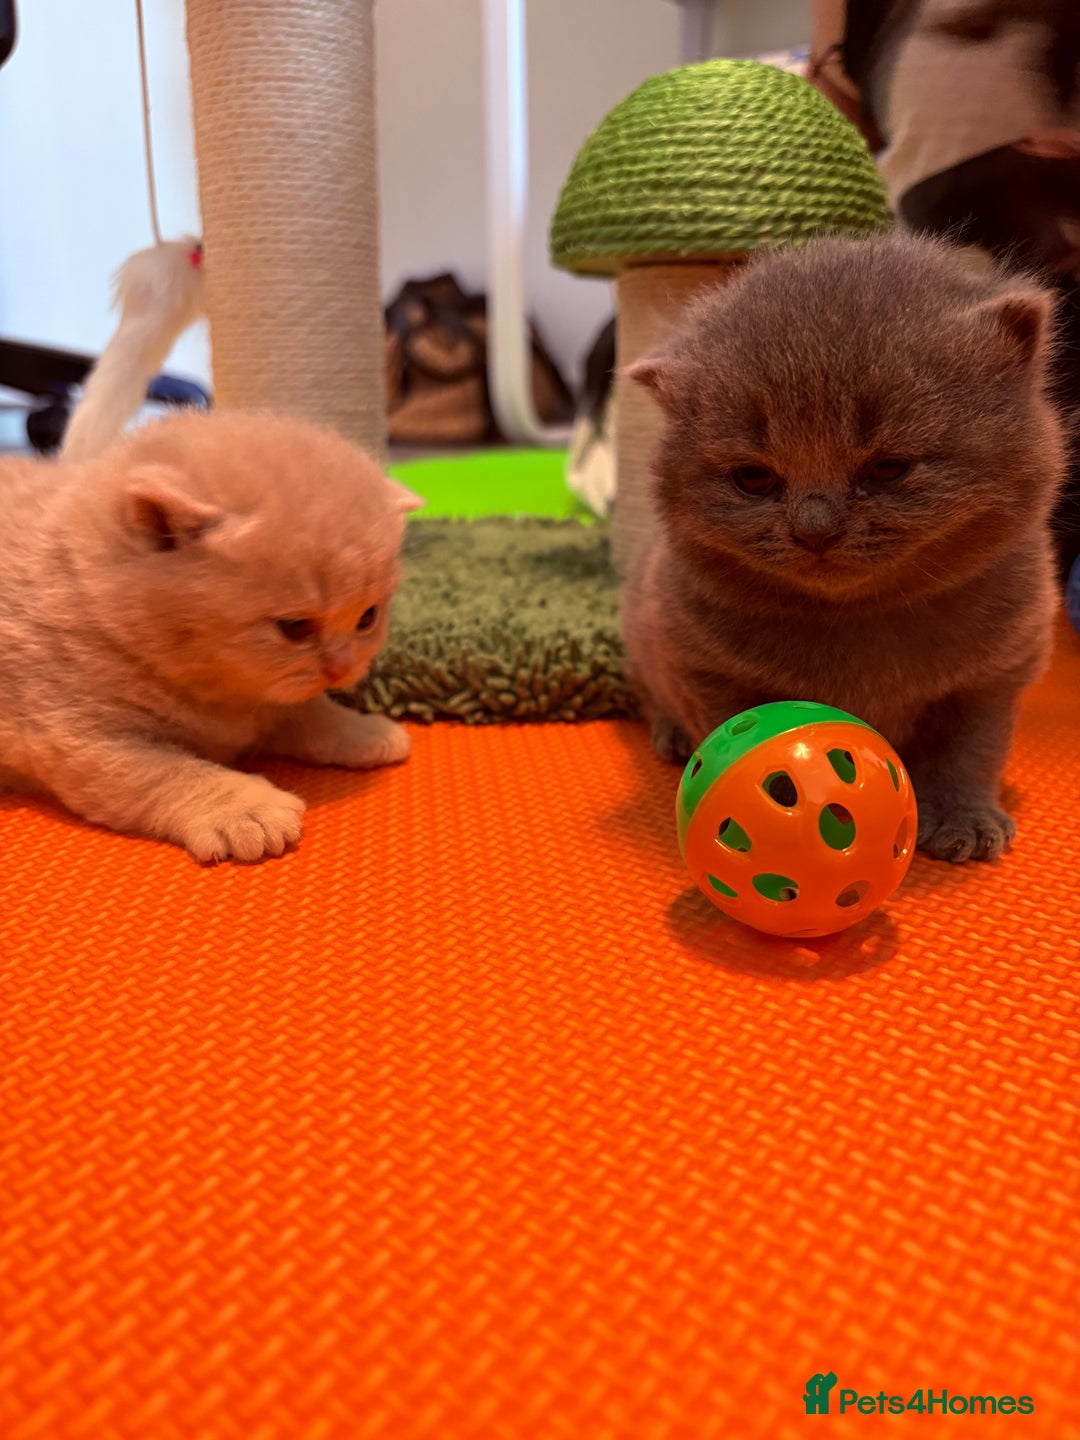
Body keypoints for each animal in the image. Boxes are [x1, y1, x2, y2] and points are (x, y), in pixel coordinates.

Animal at [0, 409, 421, 862]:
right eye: (295, 628)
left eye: (367, 618)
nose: (341, 669)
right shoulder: (81, 737)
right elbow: (167, 773)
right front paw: (246, 810)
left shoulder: (269, 702)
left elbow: (311, 713)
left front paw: (364, 731)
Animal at [621, 232, 1067, 863]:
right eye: (753, 478)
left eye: (888, 468)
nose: (815, 529)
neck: (861, 620)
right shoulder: (702, 664)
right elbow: (739, 734)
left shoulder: (995, 674)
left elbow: (968, 752)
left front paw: (964, 820)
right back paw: (674, 735)